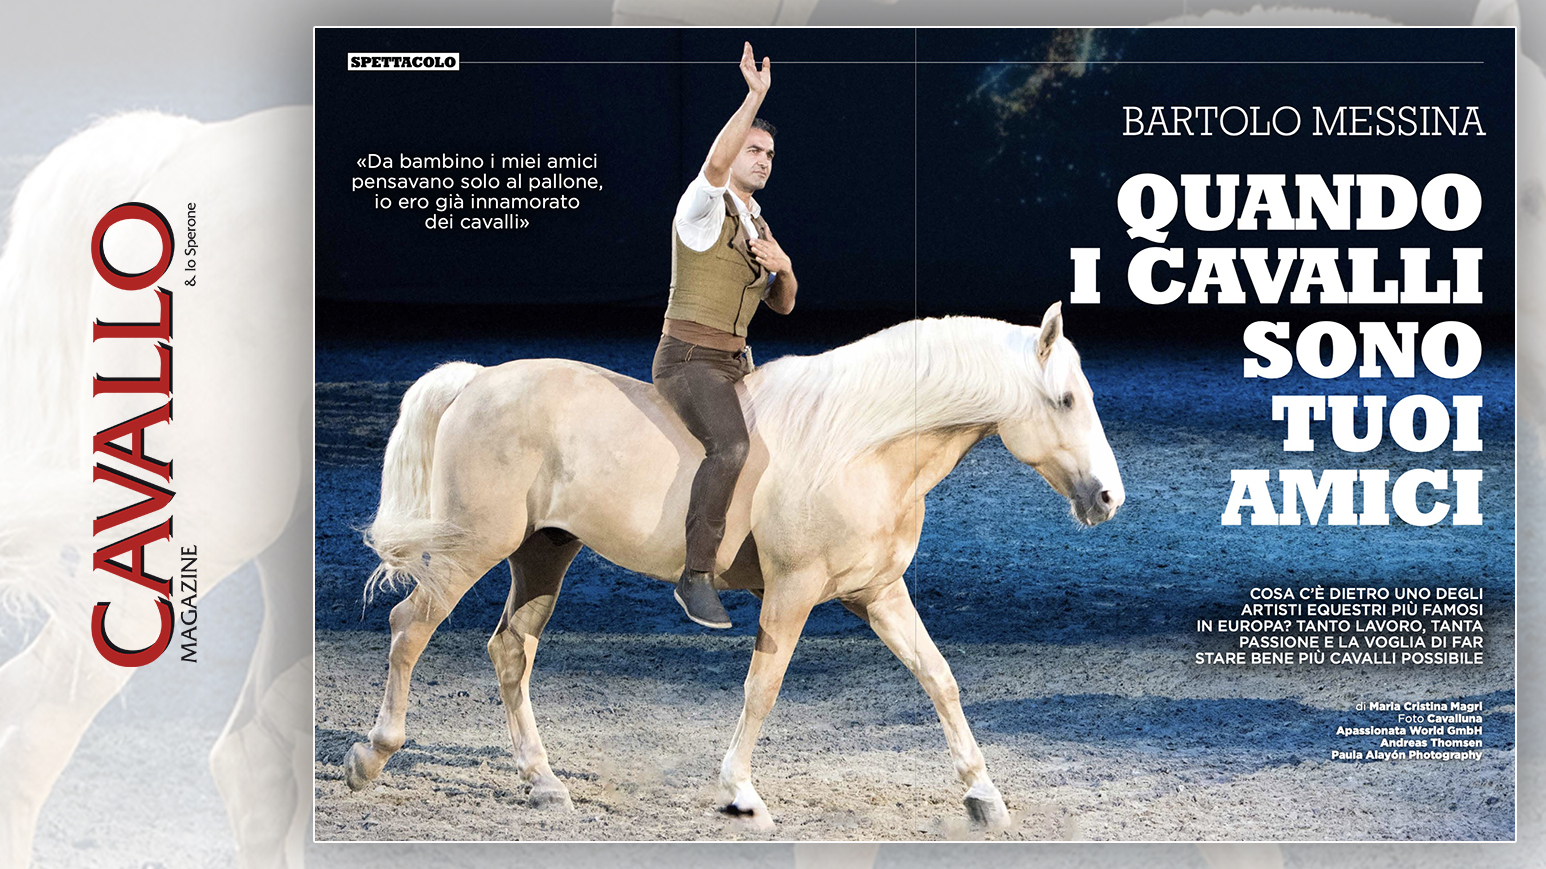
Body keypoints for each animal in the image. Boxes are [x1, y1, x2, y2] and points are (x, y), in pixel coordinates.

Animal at [344, 302, 1125, 831]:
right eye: (1064, 399)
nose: (1109, 497)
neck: (861, 445)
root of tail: (477, 382)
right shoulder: (793, 590)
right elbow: (763, 686)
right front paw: (741, 793)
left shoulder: (877, 592)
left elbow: (940, 678)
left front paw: (984, 795)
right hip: (470, 546)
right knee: (410, 626)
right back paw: (371, 756)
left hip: (544, 552)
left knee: (511, 650)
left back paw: (544, 784)